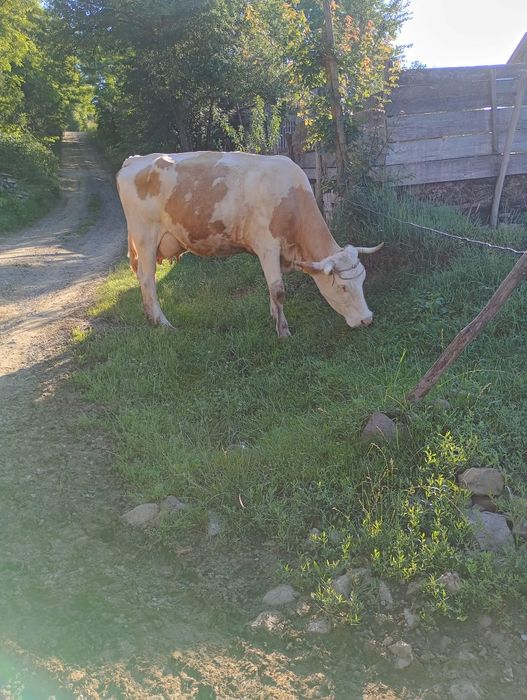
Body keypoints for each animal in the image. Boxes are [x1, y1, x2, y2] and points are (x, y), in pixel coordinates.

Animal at [116, 151, 383, 337]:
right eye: (343, 288)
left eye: (363, 281)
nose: (367, 319)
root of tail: (135, 160)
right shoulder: (268, 245)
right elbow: (278, 290)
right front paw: (283, 331)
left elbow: (271, 289)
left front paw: (274, 316)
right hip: (145, 237)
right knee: (147, 278)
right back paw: (161, 322)